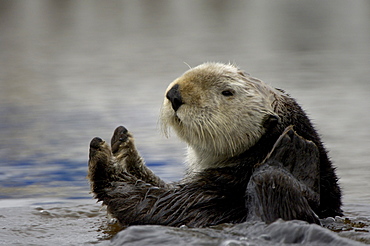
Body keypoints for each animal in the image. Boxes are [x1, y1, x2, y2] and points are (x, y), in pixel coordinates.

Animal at [88, 62, 342, 228]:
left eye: (227, 92)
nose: (174, 94)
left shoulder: (217, 195)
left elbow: (157, 207)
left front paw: (102, 157)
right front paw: (123, 145)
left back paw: (294, 153)